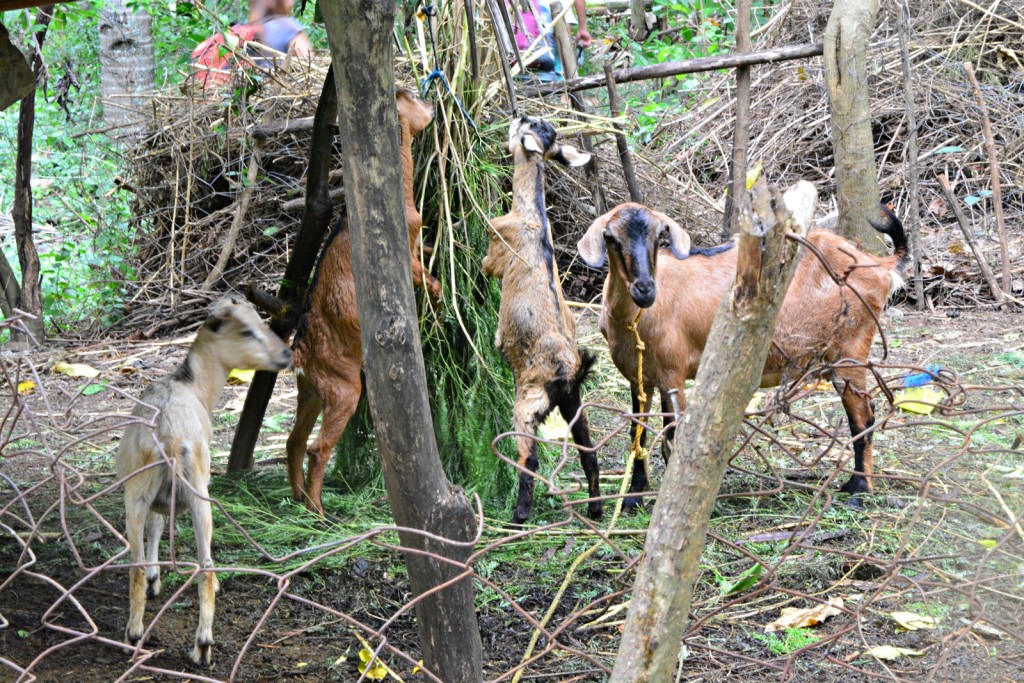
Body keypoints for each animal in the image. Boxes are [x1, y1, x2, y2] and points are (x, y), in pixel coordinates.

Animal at [117, 296, 292, 663]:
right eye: (247, 331)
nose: (287, 354)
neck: (193, 385)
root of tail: (169, 436)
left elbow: (155, 527)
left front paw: (154, 577)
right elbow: (159, 527)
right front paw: (157, 577)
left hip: (137, 493)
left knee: (135, 565)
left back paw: (135, 632)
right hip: (198, 489)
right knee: (206, 565)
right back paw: (202, 643)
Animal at [284, 85, 436, 516]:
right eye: (411, 98)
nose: (434, 103)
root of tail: (301, 349)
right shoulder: (408, 257)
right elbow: (428, 278)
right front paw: (438, 302)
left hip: (312, 389)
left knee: (294, 441)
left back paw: (300, 503)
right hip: (343, 388)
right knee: (317, 449)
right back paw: (320, 513)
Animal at [483, 117, 602, 524]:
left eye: (527, 126)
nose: (517, 116)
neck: (531, 215)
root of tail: (568, 373)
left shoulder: (496, 246)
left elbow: (485, 265)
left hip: (528, 401)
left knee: (528, 456)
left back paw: (518, 516)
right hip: (574, 404)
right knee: (588, 451)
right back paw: (596, 509)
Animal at [581, 197, 909, 507]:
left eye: (658, 236)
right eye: (610, 237)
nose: (645, 289)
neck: (635, 320)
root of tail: (880, 266)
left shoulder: (672, 373)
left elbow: (671, 438)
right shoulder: (640, 379)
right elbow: (637, 433)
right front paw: (633, 497)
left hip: (850, 350)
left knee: (863, 416)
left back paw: (859, 488)